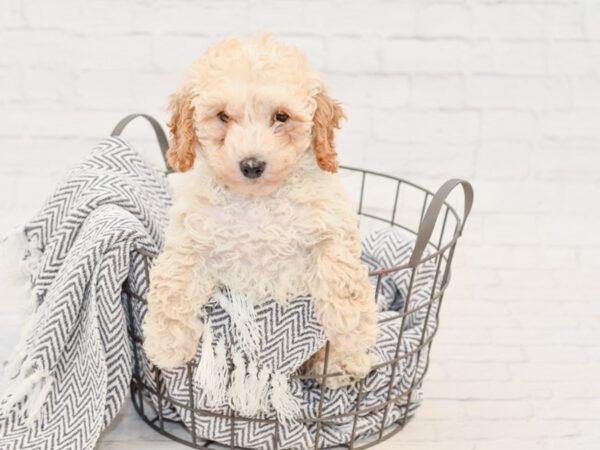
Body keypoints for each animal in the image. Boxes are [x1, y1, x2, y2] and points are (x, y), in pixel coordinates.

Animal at [142, 34, 376, 386]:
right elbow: (175, 279)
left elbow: (341, 270)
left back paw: (344, 365)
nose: (252, 165)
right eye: (223, 116)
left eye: (281, 116)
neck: (257, 201)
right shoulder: (191, 234)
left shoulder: (330, 222)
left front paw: (352, 331)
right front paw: (166, 343)